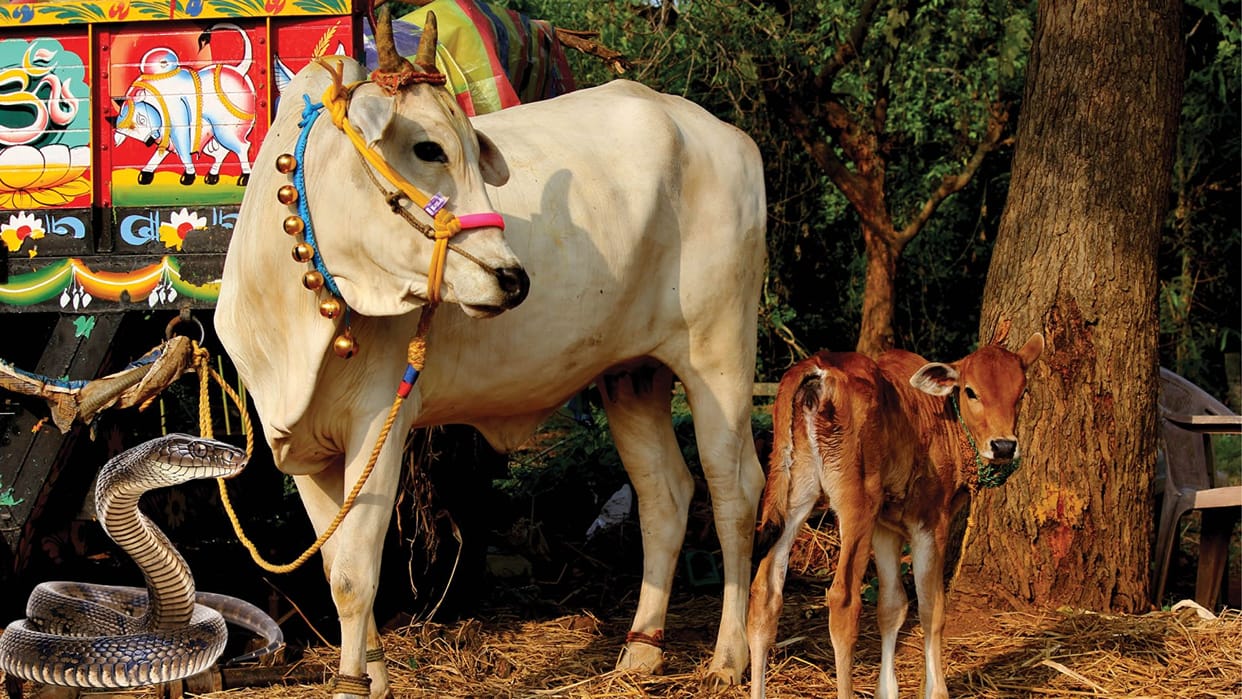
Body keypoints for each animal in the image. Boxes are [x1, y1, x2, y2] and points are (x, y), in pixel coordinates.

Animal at [214, 7, 766, 699]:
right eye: (427, 148)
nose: (513, 278)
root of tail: (726, 135)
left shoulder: (380, 422)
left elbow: (355, 573)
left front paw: (354, 683)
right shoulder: (307, 446)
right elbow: (337, 567)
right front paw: (371, 677)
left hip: (721, 354)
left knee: (734, 489)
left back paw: (729, 656)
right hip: (630, 374)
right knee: (665, 494)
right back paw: (641, 652)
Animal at [746, 329, 1044, 699]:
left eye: (1022, 392)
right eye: (971, 390)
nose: (1004, 445)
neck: (941, 421)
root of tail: (818, 368)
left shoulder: (885, 528)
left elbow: (892, 607)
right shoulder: (931, 522)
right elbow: (932, 609)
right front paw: (936, 690)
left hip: (794, 491)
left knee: (765, 591)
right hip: (855, 503)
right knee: (843, 600)